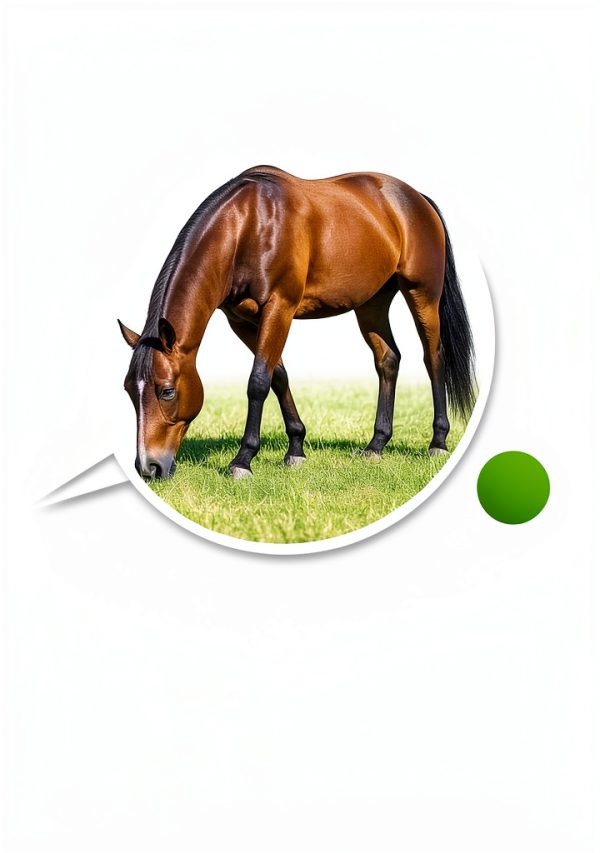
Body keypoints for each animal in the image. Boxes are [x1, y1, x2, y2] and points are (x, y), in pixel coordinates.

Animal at [119, 165, 476, 480]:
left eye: (166, 391)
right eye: (128, 390)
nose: (149, 467)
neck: (248, 226)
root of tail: (417, 198)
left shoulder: (280, 307)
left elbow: (258, 381)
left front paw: (243, 460)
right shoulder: (241, 320)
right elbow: (278, 376)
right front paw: (296, 448)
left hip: (422, 294)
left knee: (433, 358)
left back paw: (438, 442)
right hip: (372, 303)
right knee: (388, 359)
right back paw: (376, 445)